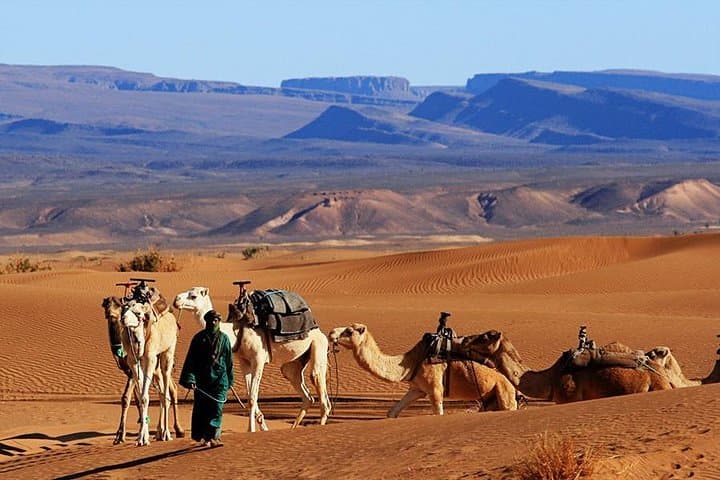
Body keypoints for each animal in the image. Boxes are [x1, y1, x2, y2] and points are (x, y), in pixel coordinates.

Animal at [102, 297, 183, 444]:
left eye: (118, 306)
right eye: (106, 305)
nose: (111, 314)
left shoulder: (148, 360)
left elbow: (133, 397)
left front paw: (127, 436)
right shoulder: (132, 364)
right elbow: (139, 398)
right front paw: (140, 435)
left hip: (167, 353)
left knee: (168, 392)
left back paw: (170, 432)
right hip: (155, 370)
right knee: (162, 393)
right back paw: (159, 432)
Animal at [175, 286, 330, 432]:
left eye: (193, 296)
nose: (176, 300)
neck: (236, 331)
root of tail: (318, 329)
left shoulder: (258, 359)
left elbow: (252, 398)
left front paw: (251, 430)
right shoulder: (244, 361)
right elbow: (250, 395)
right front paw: (261, 426)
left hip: (318, 345)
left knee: (321, 394)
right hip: (293, 364)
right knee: (305, 395)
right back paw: (293, 428)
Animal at [328, 324, 517, 417]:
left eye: (349, 331)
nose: (331, 333)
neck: (410, 363)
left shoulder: (435, 389)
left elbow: (438, 413)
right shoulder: (417, 389)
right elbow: (391, 413)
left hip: (504, 391)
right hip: (491, 400)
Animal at [459, 330, 672, 403]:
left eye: (485, 337)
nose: (464, 340)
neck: (550, 379)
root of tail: (664, 376)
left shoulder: (569, 398)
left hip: (656, 386)